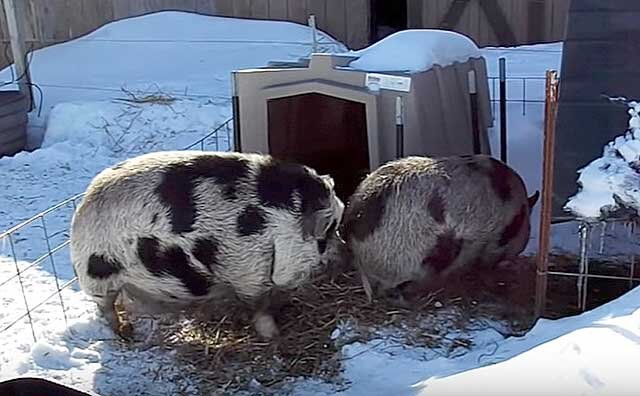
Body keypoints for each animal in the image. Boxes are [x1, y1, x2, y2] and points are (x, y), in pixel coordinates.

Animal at [70, 150, 344, 338]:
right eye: (329, 231)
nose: (343, 255)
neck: (276, 228)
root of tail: (82, 205)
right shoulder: (247, 269)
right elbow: (260, 307)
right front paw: (274, 336)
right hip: (98, 276)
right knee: (106, 307)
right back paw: (124, 334)